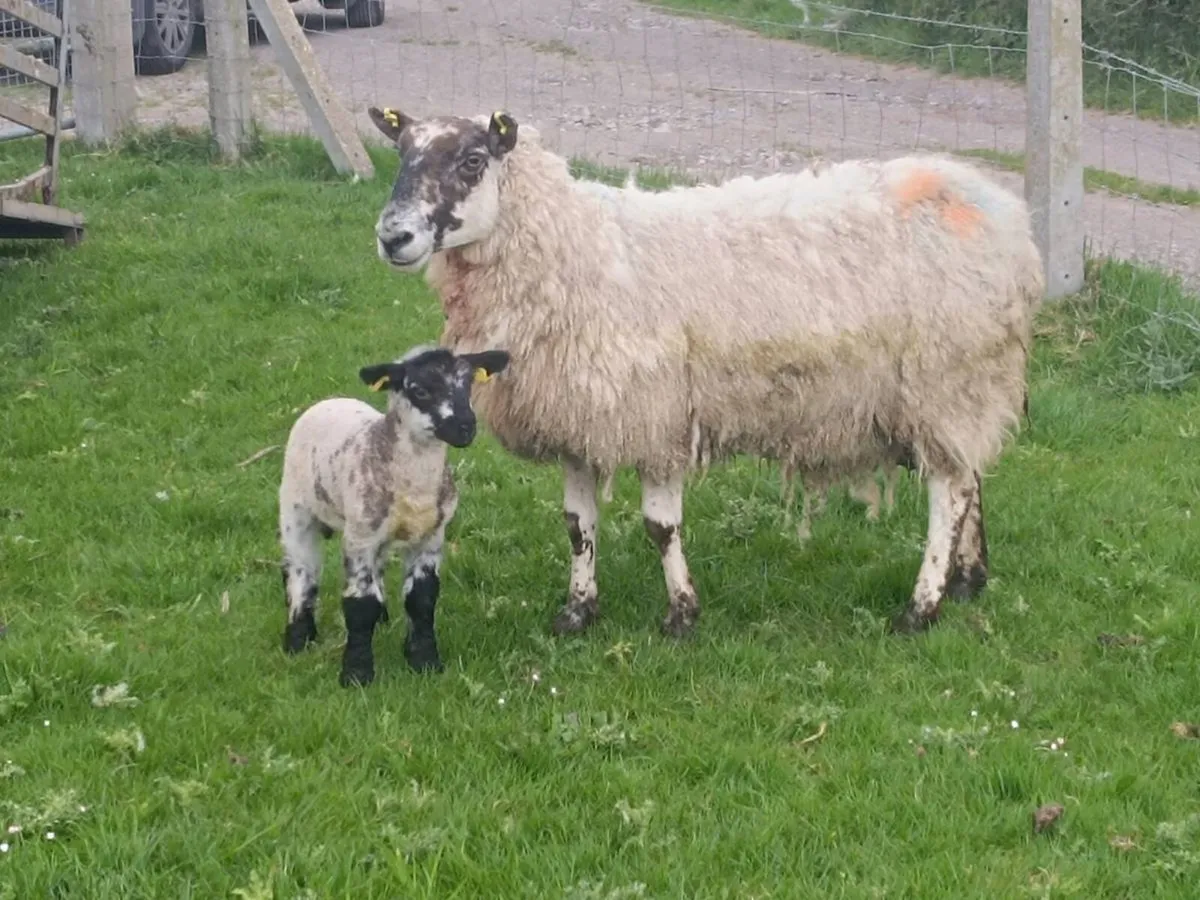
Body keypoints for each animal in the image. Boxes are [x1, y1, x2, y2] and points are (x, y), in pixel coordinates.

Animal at [279, 343, 510, 686]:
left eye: (468, 384)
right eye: (420, 390)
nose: (466, 425)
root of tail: (330, 401)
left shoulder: (431, 536)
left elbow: (422, 598)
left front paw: (424, 660)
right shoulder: (359, 538)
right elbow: (359, 604)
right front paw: (357, 674)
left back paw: (382, 617)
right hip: (295, 510)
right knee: (301, 572)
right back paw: (297, 638)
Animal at [365, 104, 1044, 638]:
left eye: (472, 161)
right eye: (400, 153)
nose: (392, 238)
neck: (573, 251)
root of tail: (1005, 214)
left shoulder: (657, 417)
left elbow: (660, 527)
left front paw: (681, 615)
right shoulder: (583, 420)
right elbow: (578, 527)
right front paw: (577, 612)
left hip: (946, 378)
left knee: (948, 494)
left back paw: (921, 605)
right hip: (961, 391)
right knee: (970, 476)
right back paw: (968, 580)